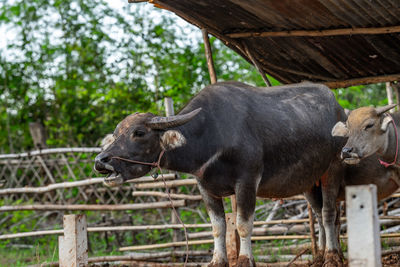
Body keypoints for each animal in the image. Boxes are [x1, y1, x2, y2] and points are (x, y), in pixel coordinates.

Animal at [94, 81, 346, 267]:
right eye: (116, 133)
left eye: (139, 132)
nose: (100, 161)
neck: (213, 135)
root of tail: (340, 111)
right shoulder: (205, 188)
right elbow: (218, 227)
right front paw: (217, 260)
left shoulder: (247, 182)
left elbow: (243, 224)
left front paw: (245, 260)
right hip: (309, 181)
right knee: (319, 213)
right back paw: (320, 256)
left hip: (332, 169)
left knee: (328, 213)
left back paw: (332, 257)